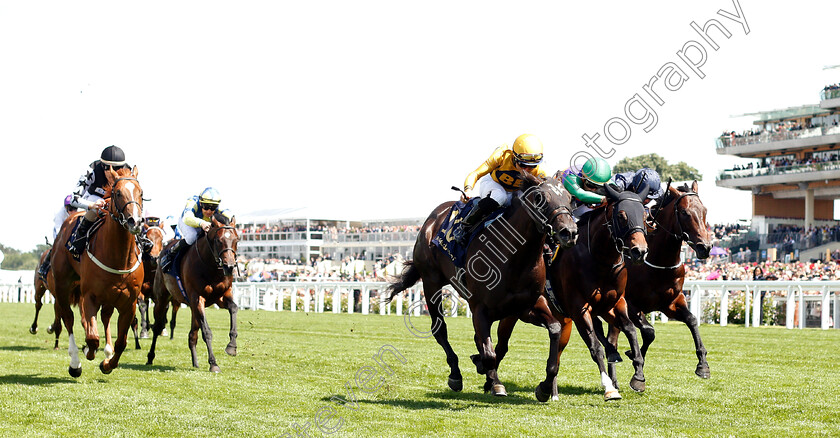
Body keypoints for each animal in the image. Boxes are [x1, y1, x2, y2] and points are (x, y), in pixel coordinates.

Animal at [49, 166, 145, 378]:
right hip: (62, 285)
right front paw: (86, 352)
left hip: (109, 297)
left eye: (141, 193)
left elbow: (121, 342)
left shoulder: (129, 303)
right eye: (118, 193)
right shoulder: (89, 296)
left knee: (105, 318)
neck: (119, 257)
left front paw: (107, 364)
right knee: (68, 318)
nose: (135, 221)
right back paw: (75, 361)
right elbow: (92, 337)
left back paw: (106, 351)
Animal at [146, 214, 240, 372]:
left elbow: (233, 308)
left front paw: (231, 346)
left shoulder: (221, 296)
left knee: (192, 335)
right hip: (162, 298)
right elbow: (206, 332)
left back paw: (195, 362)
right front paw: (213, 364)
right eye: (218, 240)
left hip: (192, 308)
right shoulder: (197, 298)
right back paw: (150, 357)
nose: (230, 266)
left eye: (236, 240)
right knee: (157, 326)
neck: (211, 267)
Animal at [388, 173, 576, 398]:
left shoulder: (526, 307)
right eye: (540, 197)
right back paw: (456, 374)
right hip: (431, 282)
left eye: (569, 198)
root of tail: (433, 218)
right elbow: (489, 354)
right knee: (440, 329)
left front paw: (545, 387)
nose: (569, 232)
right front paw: (491, 379)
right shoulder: (480, 308)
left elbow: (554, 330)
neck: (514, 258)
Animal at [608, 180, 712, 384]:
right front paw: (635, 364)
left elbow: (692, 320)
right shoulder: (630, 305)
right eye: (685, 212)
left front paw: (703, 365)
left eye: (704, 210)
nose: (705, 247)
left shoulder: (671, 303)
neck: (658, 263)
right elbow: (649, 332)